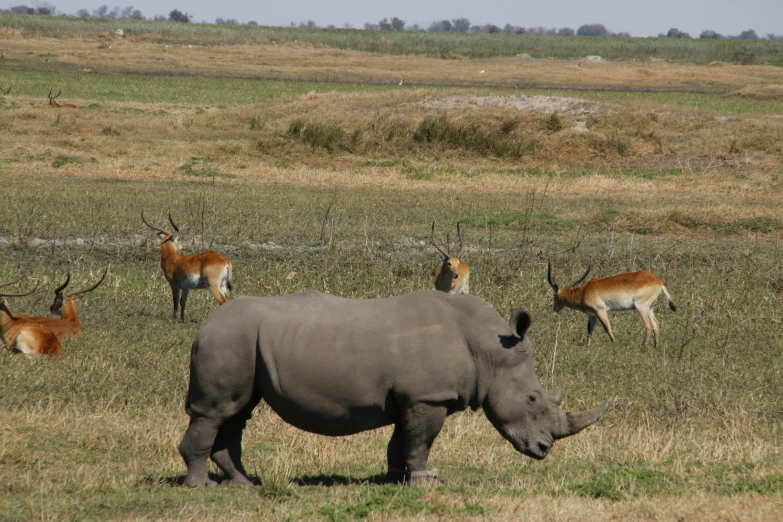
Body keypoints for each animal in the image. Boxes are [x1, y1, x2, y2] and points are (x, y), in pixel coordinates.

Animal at [548, 262, 676, 348]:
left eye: (555, 296)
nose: (554, 309)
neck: (584, 291)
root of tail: (659, 282)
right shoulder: (592, 314)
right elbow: (589, 329)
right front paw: (587, 347)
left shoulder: (600, 310)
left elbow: (607, 327)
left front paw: (614, 343)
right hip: (650, 308)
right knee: (656, 324)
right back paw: (655, 347)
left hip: (641, 307)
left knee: (648, 325)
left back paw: (643, 347)